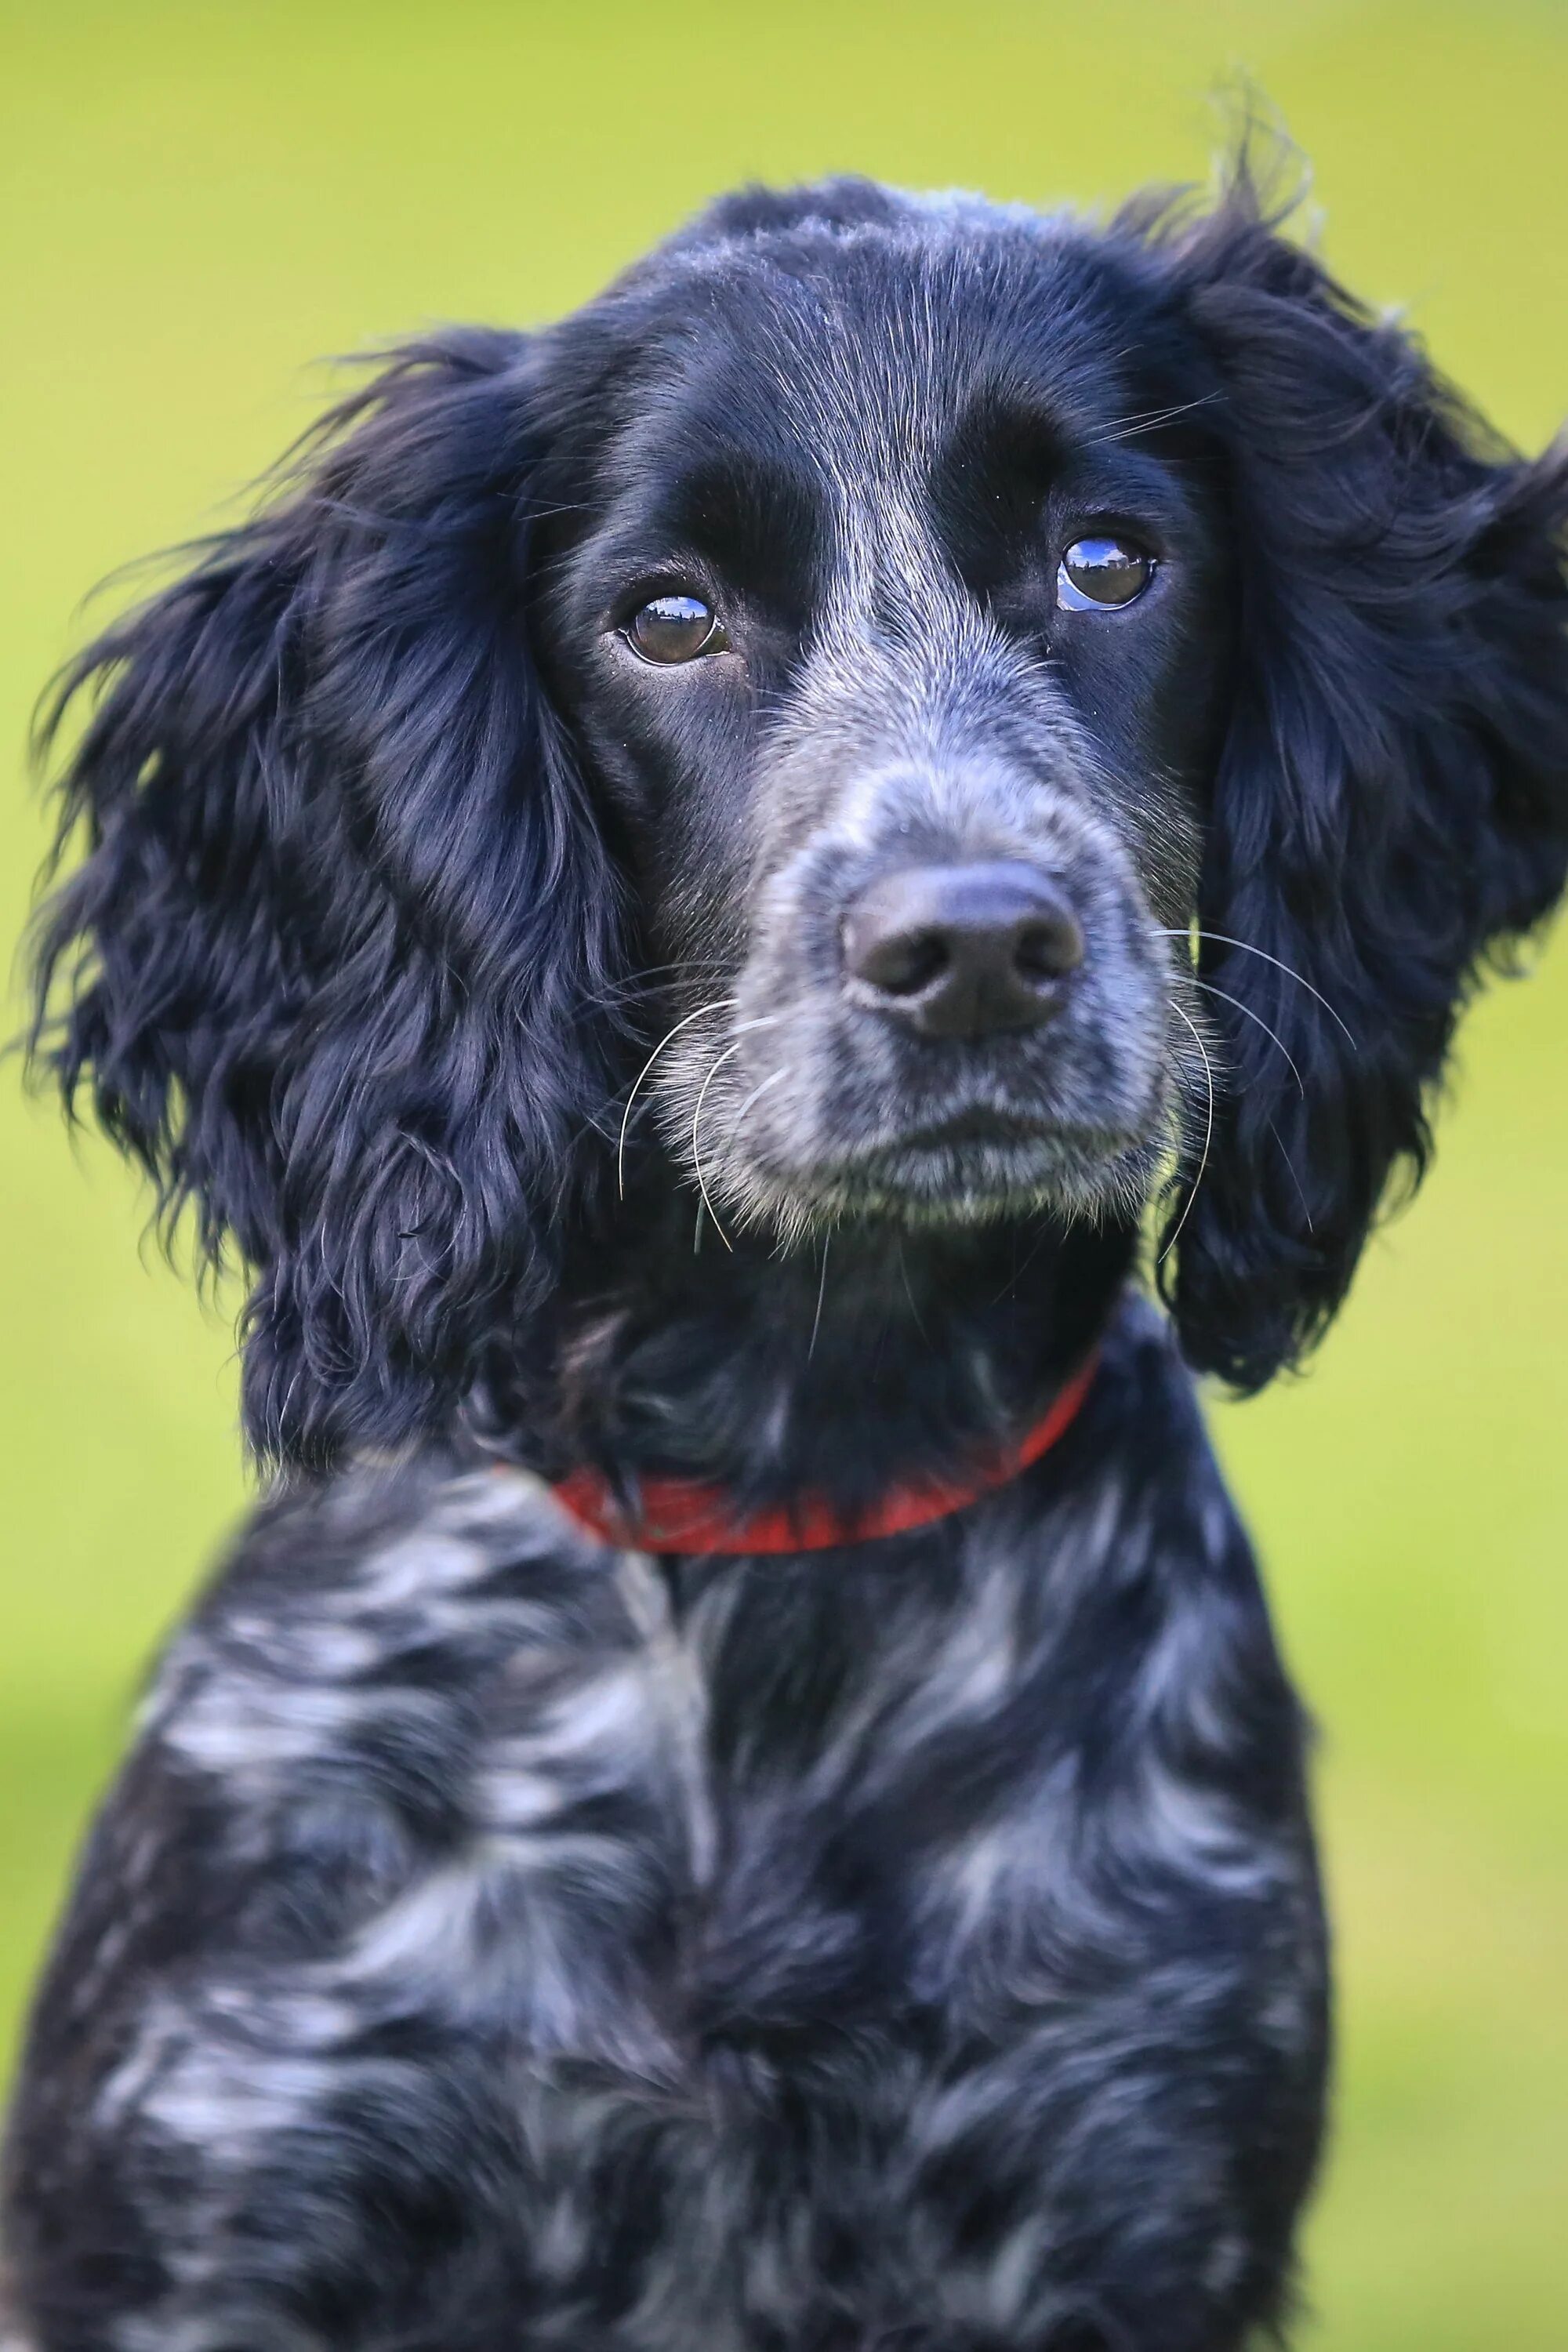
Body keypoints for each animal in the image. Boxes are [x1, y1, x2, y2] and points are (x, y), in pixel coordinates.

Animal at [12, 161, 1568, 2352]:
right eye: (667, 617)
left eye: (1109, 562)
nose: (975, 948)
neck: (784, 1491)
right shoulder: (215, 2183)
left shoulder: (1124, 2188)